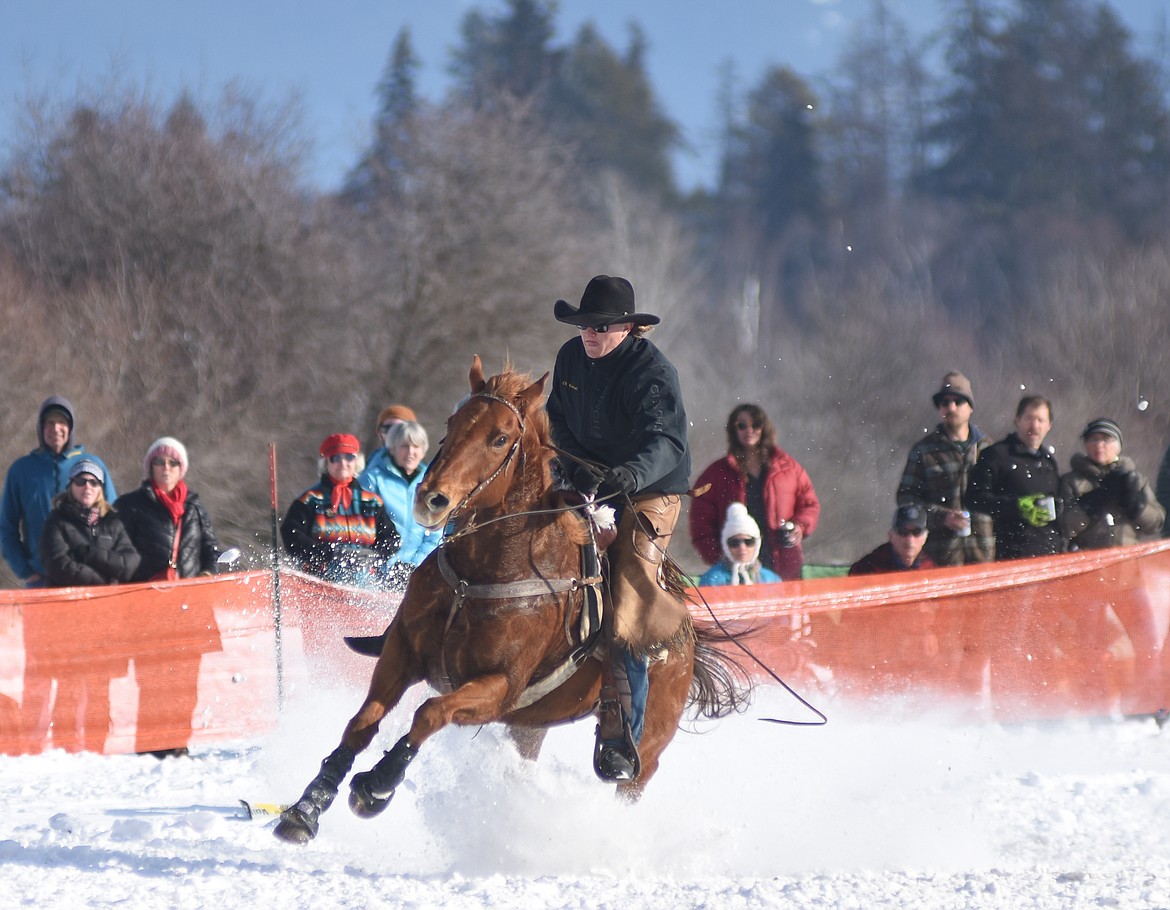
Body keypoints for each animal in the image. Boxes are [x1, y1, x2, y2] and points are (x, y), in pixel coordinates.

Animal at [272, 355, 744, 842]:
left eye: (500, 438)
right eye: (453, 423)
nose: (430, 499)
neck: (479, 576)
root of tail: (687, 634)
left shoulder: (499, 687)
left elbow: (430, 713)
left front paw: (377, 784)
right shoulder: (403, 652)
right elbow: (362, 723)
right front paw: (307, 807)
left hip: (646, 751)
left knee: (631, 777)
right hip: (530, 726)